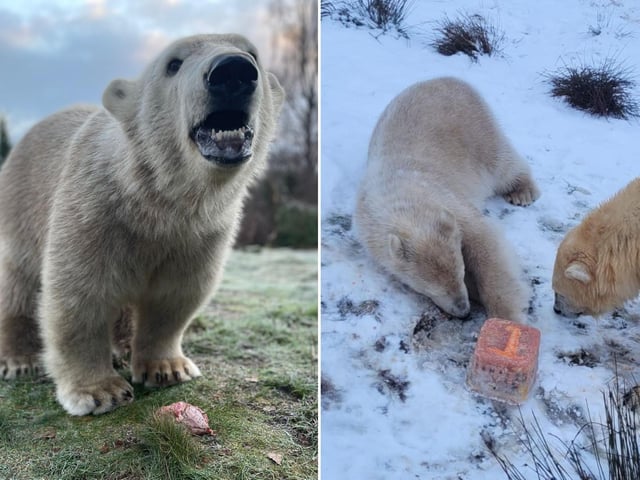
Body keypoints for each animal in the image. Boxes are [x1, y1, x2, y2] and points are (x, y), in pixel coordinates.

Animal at [0, 34, 284, 415]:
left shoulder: (199, 233)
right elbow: (79, 296)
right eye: (173, 64)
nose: (232, 71)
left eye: (252, 52)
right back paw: (19, 360)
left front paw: (167, 368)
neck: (154, 202)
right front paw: (99, 391)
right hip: (20, 210)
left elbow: (176, 295)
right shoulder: (91, 213)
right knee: (17, 285)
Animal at [355, 77, 540, 323]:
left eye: (461, 272)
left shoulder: (448, 202)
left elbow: (486, 243)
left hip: (479, 132)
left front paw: (506, 317)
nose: (463, 311)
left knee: (503, 163)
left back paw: (522, 193)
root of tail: (447, 78)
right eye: (427, 289)